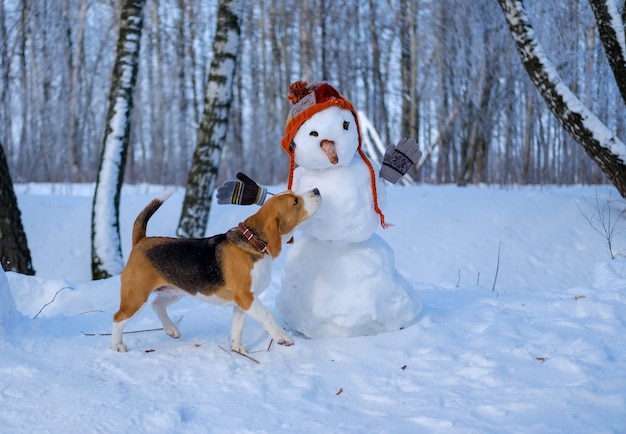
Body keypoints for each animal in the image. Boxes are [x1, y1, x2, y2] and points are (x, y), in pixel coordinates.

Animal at [110, 187, 322, 352]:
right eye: (295, 201)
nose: (317, 190)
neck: (253, 241)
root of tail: (141, 241)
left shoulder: (243, 303)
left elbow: (237, 327)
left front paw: (237, 348)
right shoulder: (247, 297)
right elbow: (267, 316)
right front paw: (282, 338)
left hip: (176, 290)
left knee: (157, 305)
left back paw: (171, 329)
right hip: (136, 297)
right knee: (118, 317)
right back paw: (117, 345)